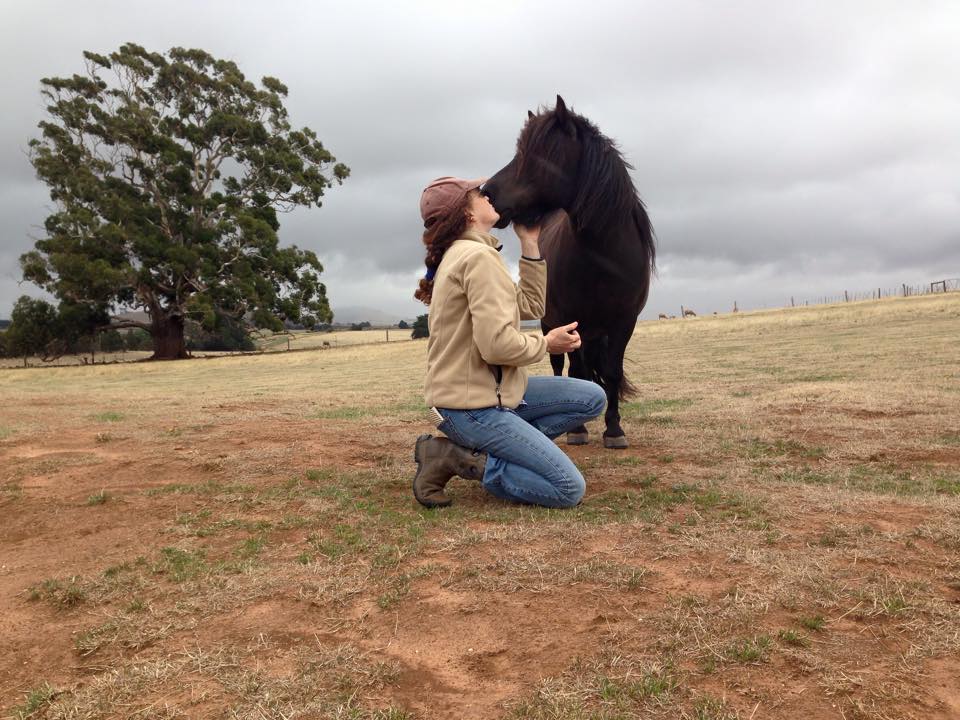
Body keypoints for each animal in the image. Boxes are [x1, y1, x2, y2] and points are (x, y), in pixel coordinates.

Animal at [484, 93, 656, 448]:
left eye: (535, 153)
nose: (486, 193)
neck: (604, 256)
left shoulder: (624, 322)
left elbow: (612, 372)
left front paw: (614, 429)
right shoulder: (568, 320)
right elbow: (575, 373)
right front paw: (579, 429)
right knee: (560, 366)